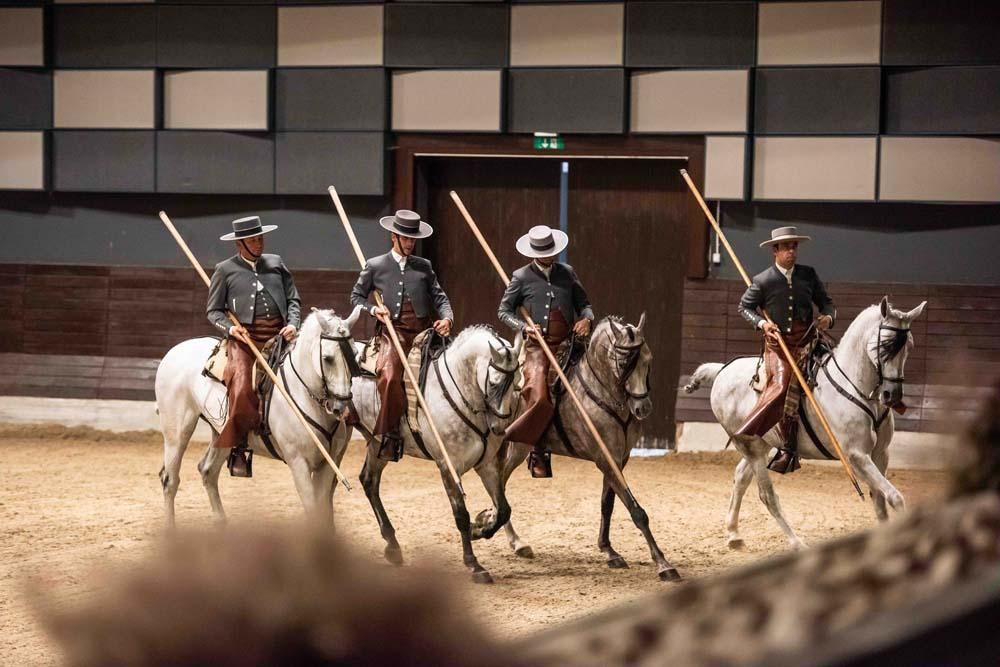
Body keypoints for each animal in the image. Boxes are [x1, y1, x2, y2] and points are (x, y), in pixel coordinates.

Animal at [154, 306, 362, 528]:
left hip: (223, 433)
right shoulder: (299, 463)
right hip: (177, 433)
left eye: (355, 355)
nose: (341, 406)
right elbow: (313, 511)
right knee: (169, 480)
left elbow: (323, 512)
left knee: (207, 471)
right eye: (328, 358)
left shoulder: (327, 464)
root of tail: (175, 351)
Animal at [338, 328, 524, 584]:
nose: (499, 428)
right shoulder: (448, 467)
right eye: (494, 383)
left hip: (377, 445)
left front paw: (480, 528)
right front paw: (474, 564)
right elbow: (461, 515)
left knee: (369, 482)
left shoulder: (486, 465)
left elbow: (504, 509)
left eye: (516, 382)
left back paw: (392, 545)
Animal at [684, 298, 924, 548]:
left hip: (761, 444)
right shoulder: (856, 456)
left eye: (909, 346)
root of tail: (722, 370)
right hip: (751, 448)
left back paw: (733, 534)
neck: (852, 384)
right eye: (885, 346)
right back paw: (796, 543)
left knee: (741, 476)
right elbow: (895, 497)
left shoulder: (880, 454)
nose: (892, 395)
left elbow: (880, 499)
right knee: (767, 495)